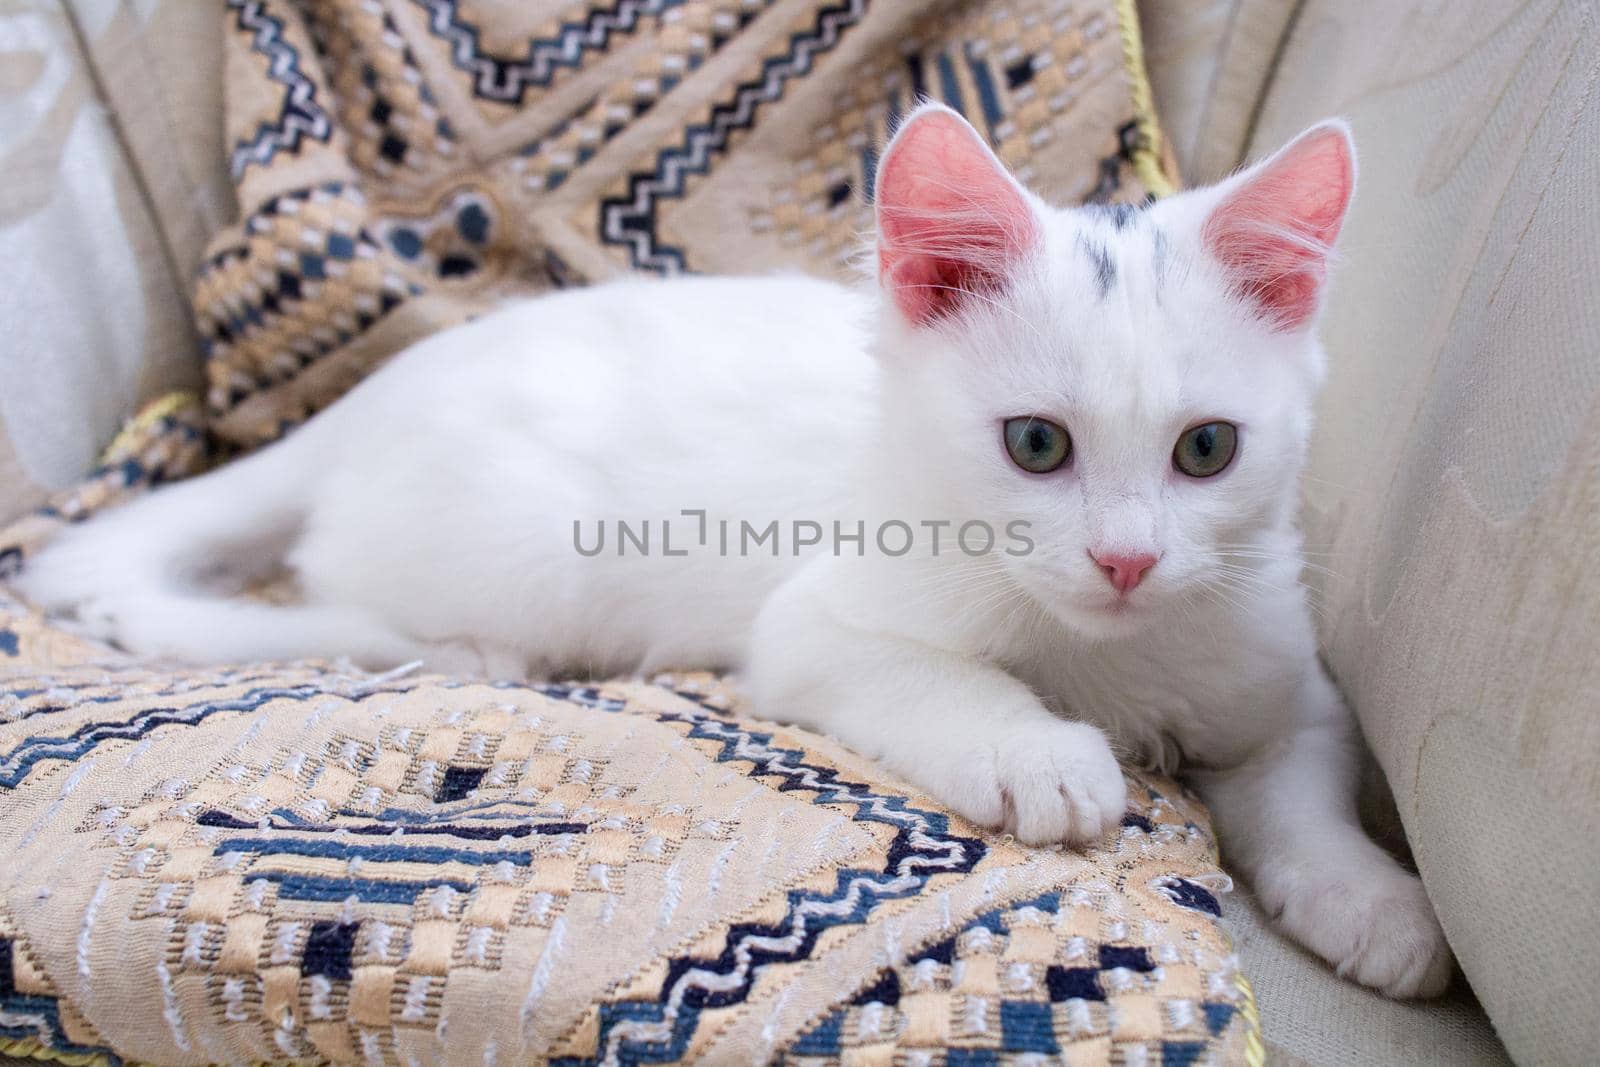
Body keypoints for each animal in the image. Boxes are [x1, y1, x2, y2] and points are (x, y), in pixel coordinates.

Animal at [15, 103, 1465, 998]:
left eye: (1206, 449)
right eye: (1036, 445)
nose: (1125, 562)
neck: (1107, 648)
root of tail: (384, 383)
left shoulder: (1285, 664)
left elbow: (1302, 778)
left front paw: (1376, 899)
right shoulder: (817, 619)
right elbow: (939, 677)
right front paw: (1043, 754)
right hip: (530, 545)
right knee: (340, 596)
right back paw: (458, 643)